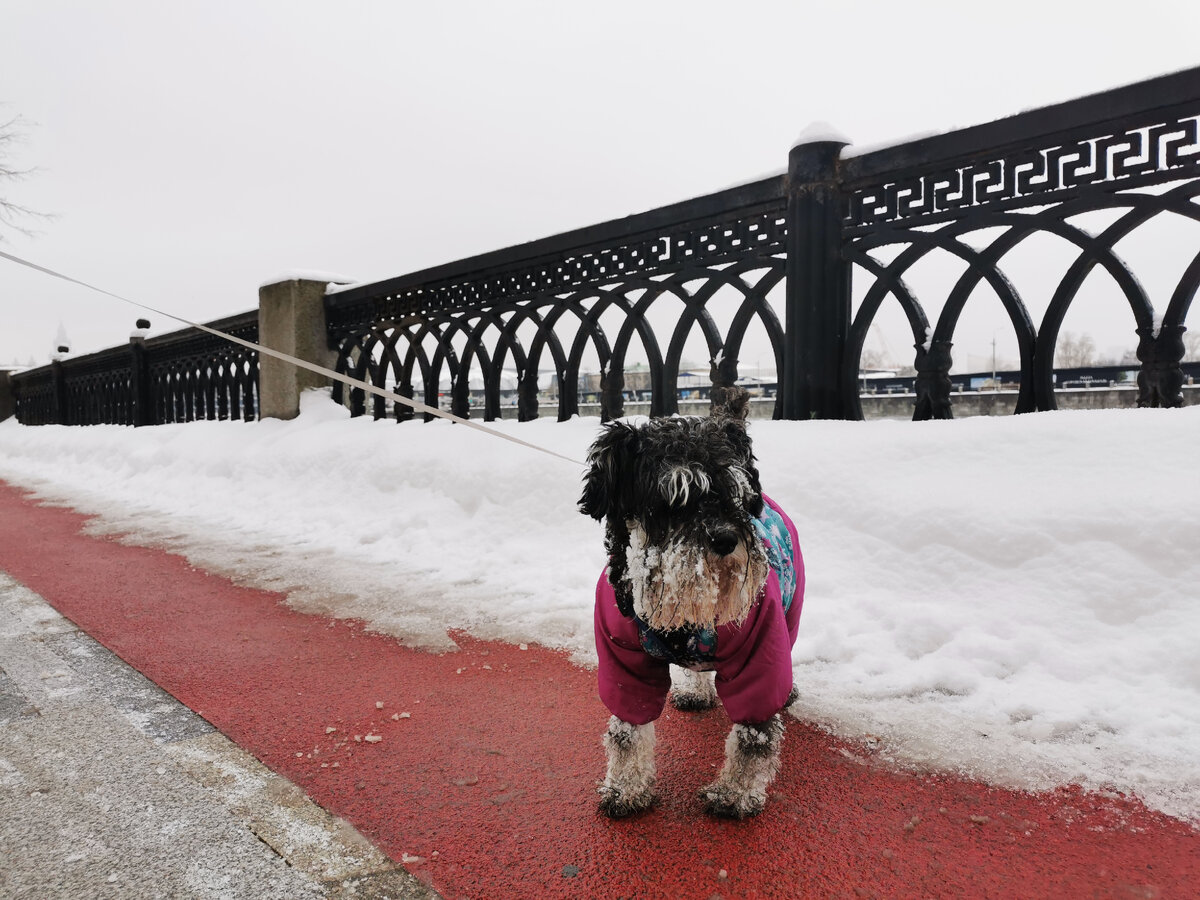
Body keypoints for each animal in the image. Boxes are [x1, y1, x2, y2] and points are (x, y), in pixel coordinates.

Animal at [580, 388, 806, 816]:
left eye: (736, 494)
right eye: (672, 498)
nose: (726, 540)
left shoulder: (760, 650)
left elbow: (754, 733)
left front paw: (735, 793)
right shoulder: (622, 660)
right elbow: (627, 729)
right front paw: (625, 788)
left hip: (791, 607)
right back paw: (697, 691)